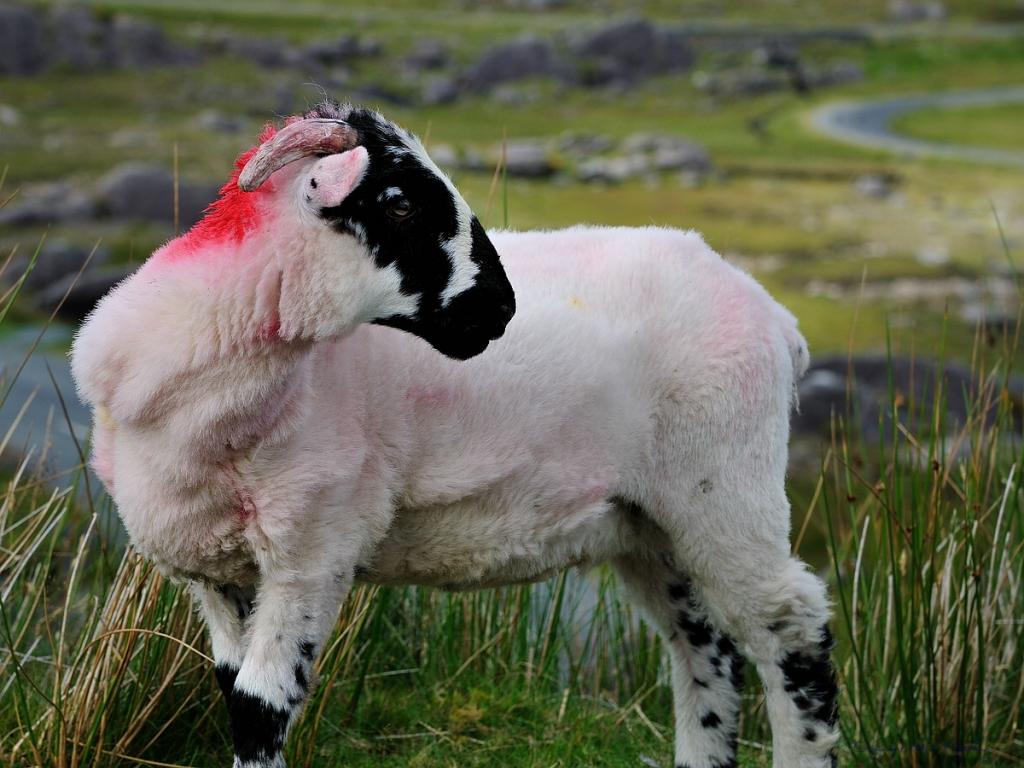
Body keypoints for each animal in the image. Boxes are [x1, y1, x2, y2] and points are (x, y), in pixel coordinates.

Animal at [71, 100, 838, 768]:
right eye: (400, 202)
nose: (500, 308)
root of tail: (775, 314)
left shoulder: (314, 547)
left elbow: (262, 708)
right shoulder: (213, 568)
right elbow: (233, 694)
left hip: (724, 488)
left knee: (793, 631)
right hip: (647, 523)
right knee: (704, 647)